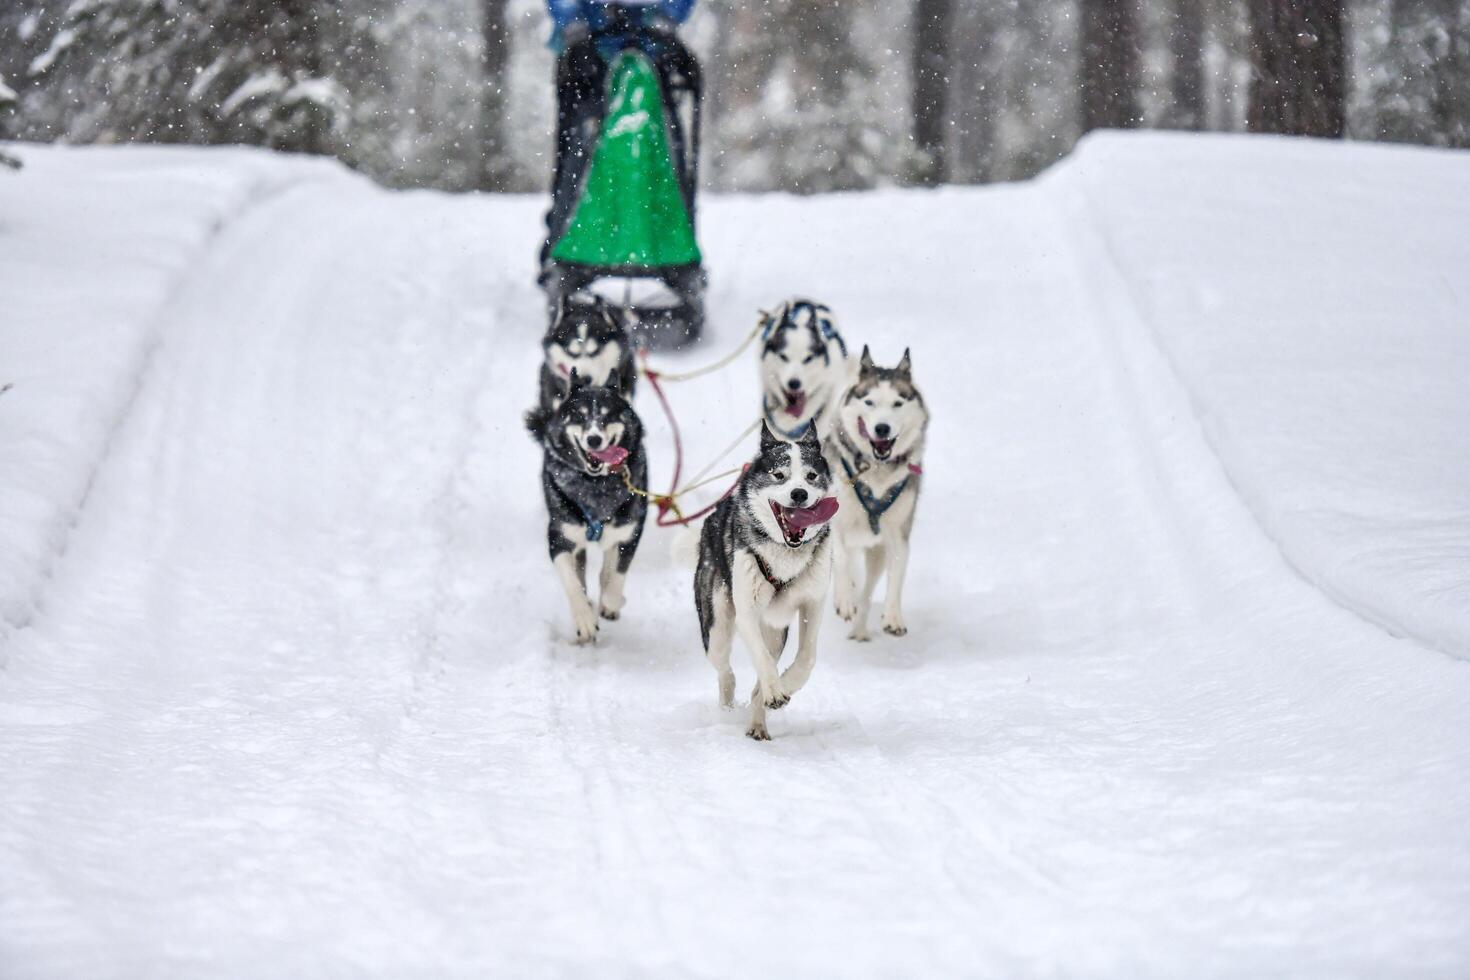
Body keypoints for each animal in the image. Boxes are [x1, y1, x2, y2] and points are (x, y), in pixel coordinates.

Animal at [526, 373, 646, 643]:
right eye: (579, 416)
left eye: (607, 416)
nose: (594, 439)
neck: (595, 484)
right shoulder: (559, 537)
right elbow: (572, 582)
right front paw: (584, 619)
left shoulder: (629, 531)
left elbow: (615, 576)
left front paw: (612, 603)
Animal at [696, 426, 840, 740]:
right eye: (779, 475)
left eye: (811, 476)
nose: (799, 493)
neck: (786, 553)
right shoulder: (747, 612)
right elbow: (761, 658)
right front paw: (775, 691)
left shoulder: (813, 604)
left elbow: (807, 658)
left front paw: (784, 686)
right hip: (717, 628)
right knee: (726, 670)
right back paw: (730, 705)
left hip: (775, 630)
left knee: (759, 679)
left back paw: (757, 723)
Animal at [834, 346, 923, 643]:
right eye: (869, 402)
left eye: (897, 403)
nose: (882, 428)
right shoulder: (834, 524)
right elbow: (842, 561)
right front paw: (844, 599)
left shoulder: (898, 534)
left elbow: (897, 577)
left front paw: (893, 616)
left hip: (877, 552)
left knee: (868, 590)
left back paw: (860, 629)